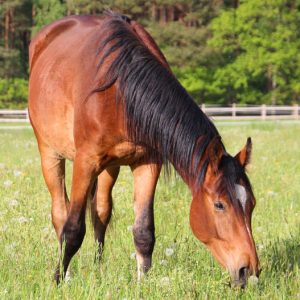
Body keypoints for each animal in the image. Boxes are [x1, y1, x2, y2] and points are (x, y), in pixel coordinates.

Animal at [28, 11, 260, 288]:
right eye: (219, 205)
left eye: (252, 204)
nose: (249, 270)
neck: (121, 92)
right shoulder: (86, 162)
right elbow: (72, 229)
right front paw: (57, 281)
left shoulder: (148, 164)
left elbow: (143, 231)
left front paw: (144, 282)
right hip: (50, 154)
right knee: (60, 214)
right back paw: (68, 272)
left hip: (111, 167)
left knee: (101, 212)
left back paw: (98, 267)